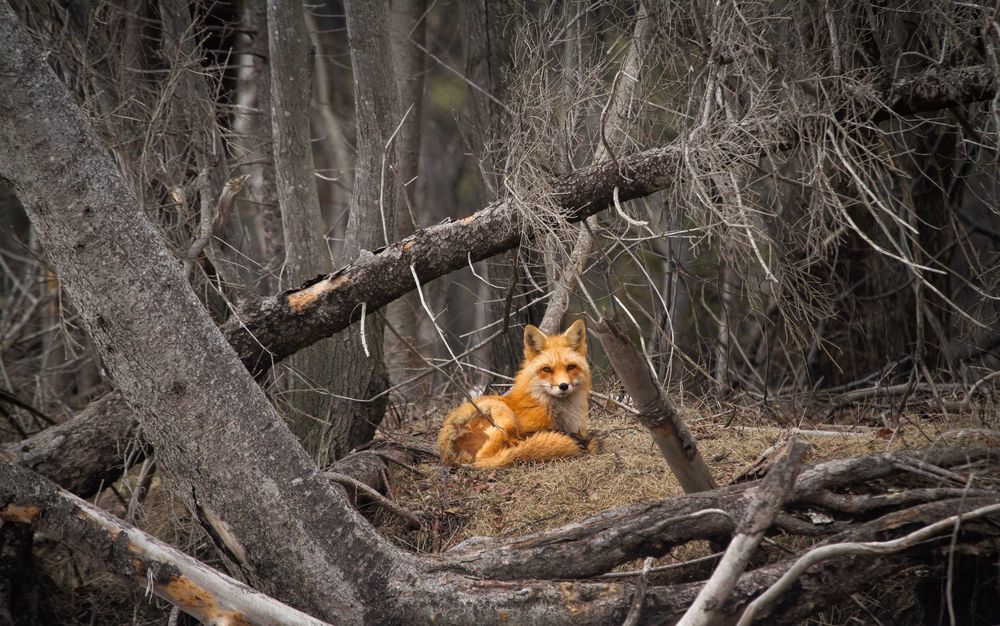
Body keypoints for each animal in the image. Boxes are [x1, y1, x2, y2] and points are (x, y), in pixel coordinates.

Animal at [436, 320, 592, 466]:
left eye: (571, 367)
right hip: (502, 413)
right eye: (547, 369)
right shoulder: (527, 428)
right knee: (502, 452)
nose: (563, 386)